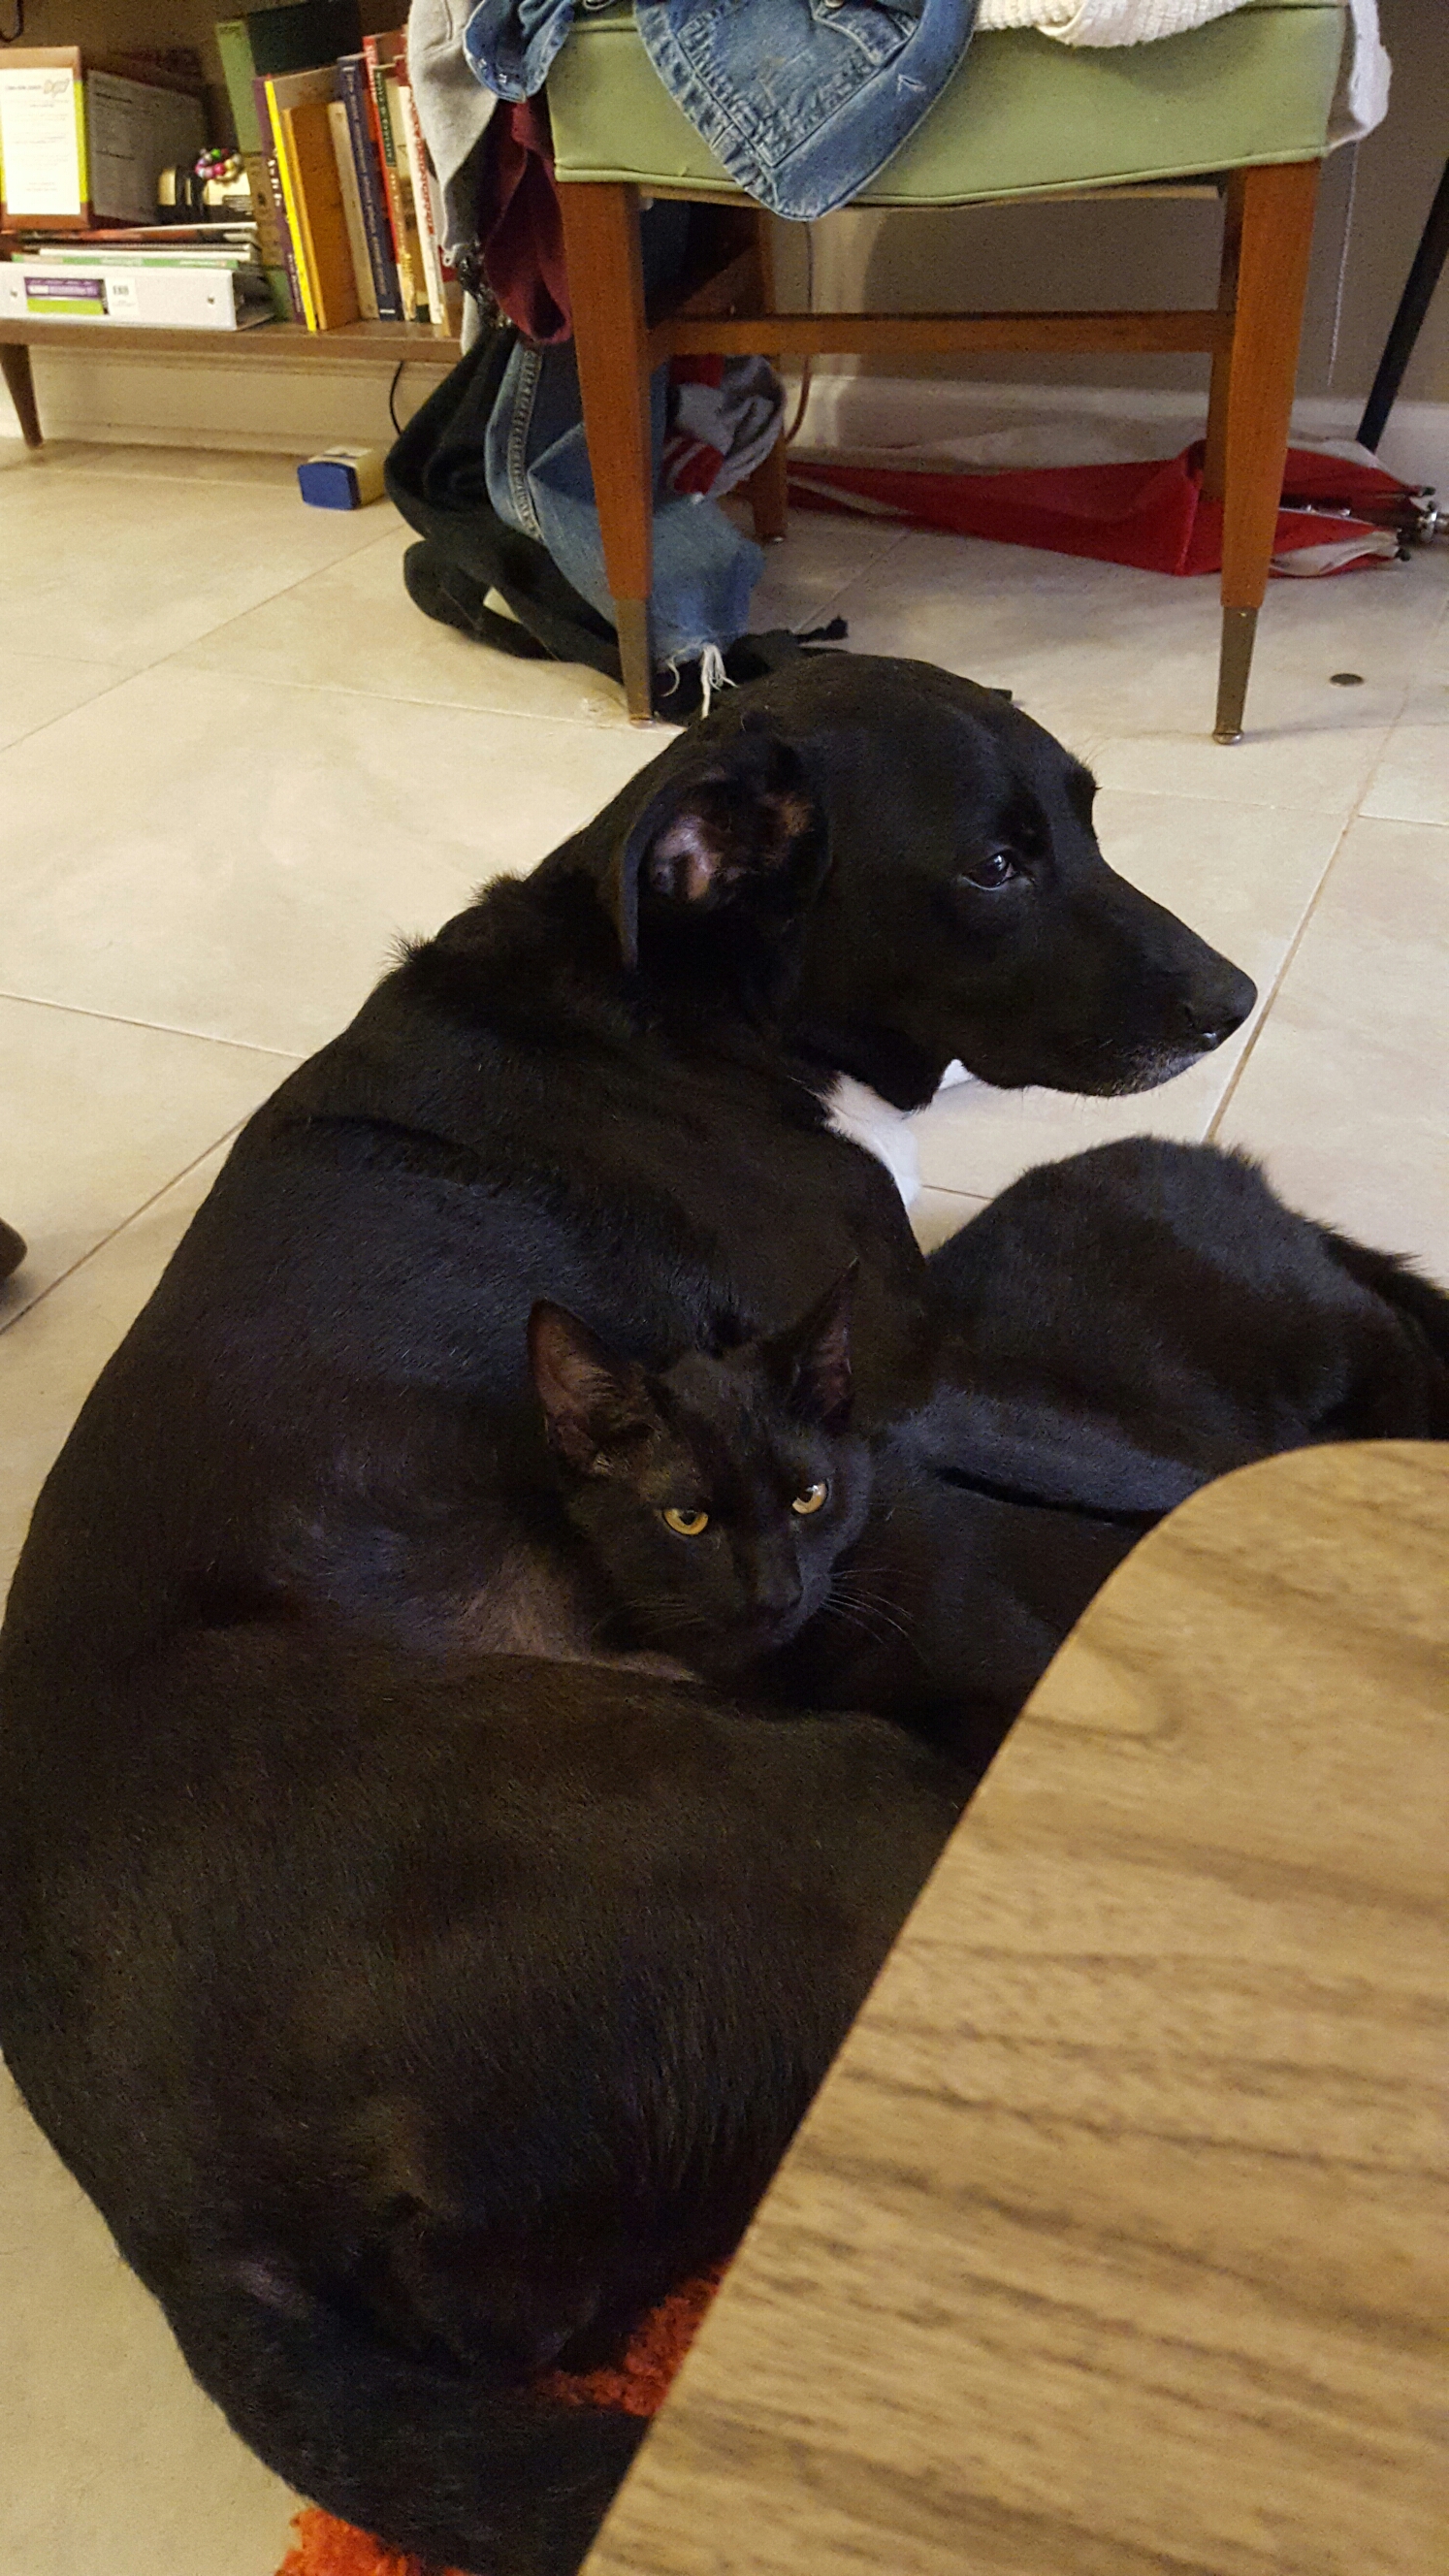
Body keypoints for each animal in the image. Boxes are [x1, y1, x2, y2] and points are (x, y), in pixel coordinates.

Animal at [0, 656, 1258, 2573]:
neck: (687, 1012)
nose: (1233, 1002)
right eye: (991, 866)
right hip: (843, 1804)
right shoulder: (908, 1381)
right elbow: (1124, 1464)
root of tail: (178, 2236)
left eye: (1089, 817)